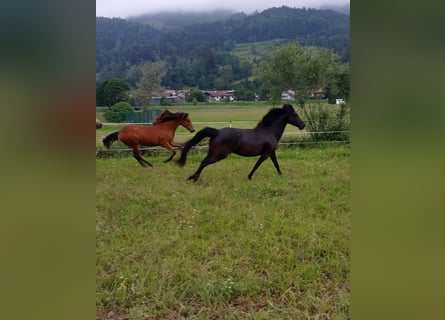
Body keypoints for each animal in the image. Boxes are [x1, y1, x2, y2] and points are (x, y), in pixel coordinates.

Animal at [177, 104, 306, 181]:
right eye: (295, 114)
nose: (303, 125)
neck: (269, 131)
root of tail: (217, 132)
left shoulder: (271, 152)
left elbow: (276, 164)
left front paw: (281, 175)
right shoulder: (265, 154)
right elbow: (257, 164)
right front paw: (249, 177)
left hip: (213, 153)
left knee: (203, 162)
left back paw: (193, 177)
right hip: (219, 155)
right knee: (204, 162)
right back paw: (194, 178)